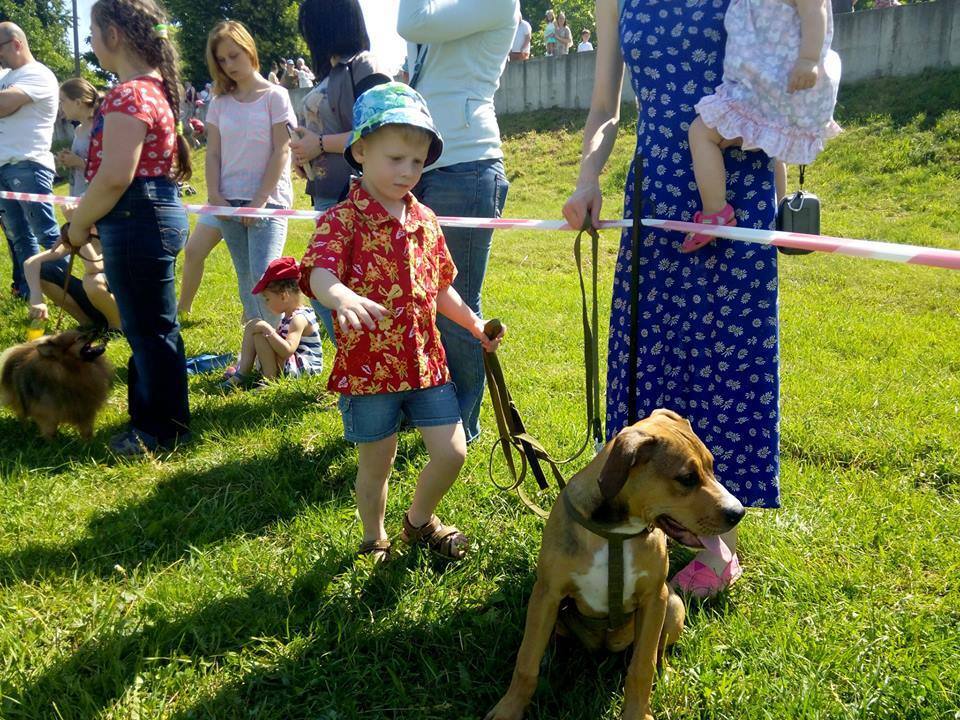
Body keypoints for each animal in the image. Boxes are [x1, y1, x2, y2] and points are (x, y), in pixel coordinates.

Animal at [484, 408, 748, 720]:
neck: (615, 533)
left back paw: (665, 673)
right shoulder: (547, 593)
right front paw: (509, 709)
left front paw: (637, 712)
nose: (738, 512)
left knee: (658, 651)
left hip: (672, 606)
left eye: (711, 466)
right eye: (686, 478)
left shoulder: (654, 598)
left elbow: (642, 666)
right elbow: (526, 661)